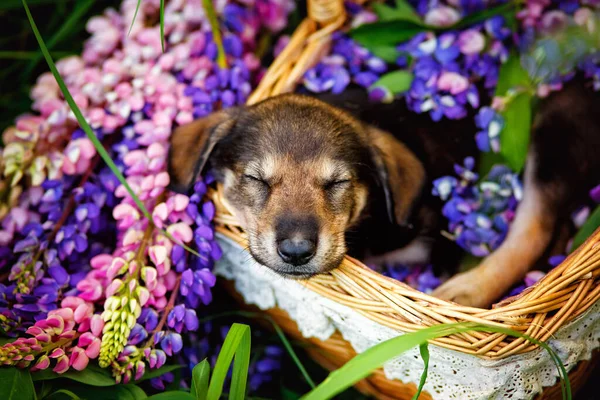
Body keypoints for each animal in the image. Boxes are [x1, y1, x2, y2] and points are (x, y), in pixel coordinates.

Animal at [166, 79, 600, 310]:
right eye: (257, 179)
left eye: (337, 183)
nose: (296, 251)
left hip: (553, 138)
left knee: (534, 227)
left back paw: (466, 291)